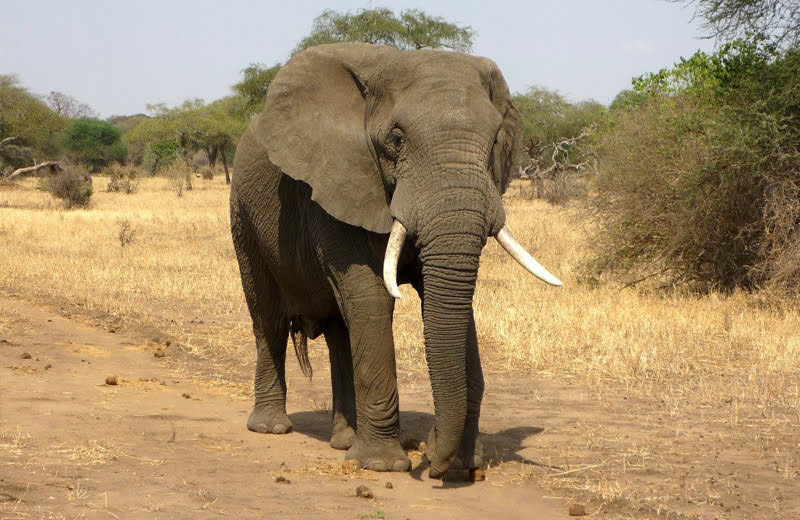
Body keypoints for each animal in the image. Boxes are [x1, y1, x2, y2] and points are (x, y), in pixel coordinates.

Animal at [228, 42, 560, 478]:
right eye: (397, 139)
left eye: (493, 143)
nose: (432, 463)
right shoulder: (337, 183)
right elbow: (372, 297)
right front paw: (382, 465)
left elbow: (447, 301)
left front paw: (462, 464)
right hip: (242, 214)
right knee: (268, 317)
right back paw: (271, 428)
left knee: (340, 330)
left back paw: (345, 441)